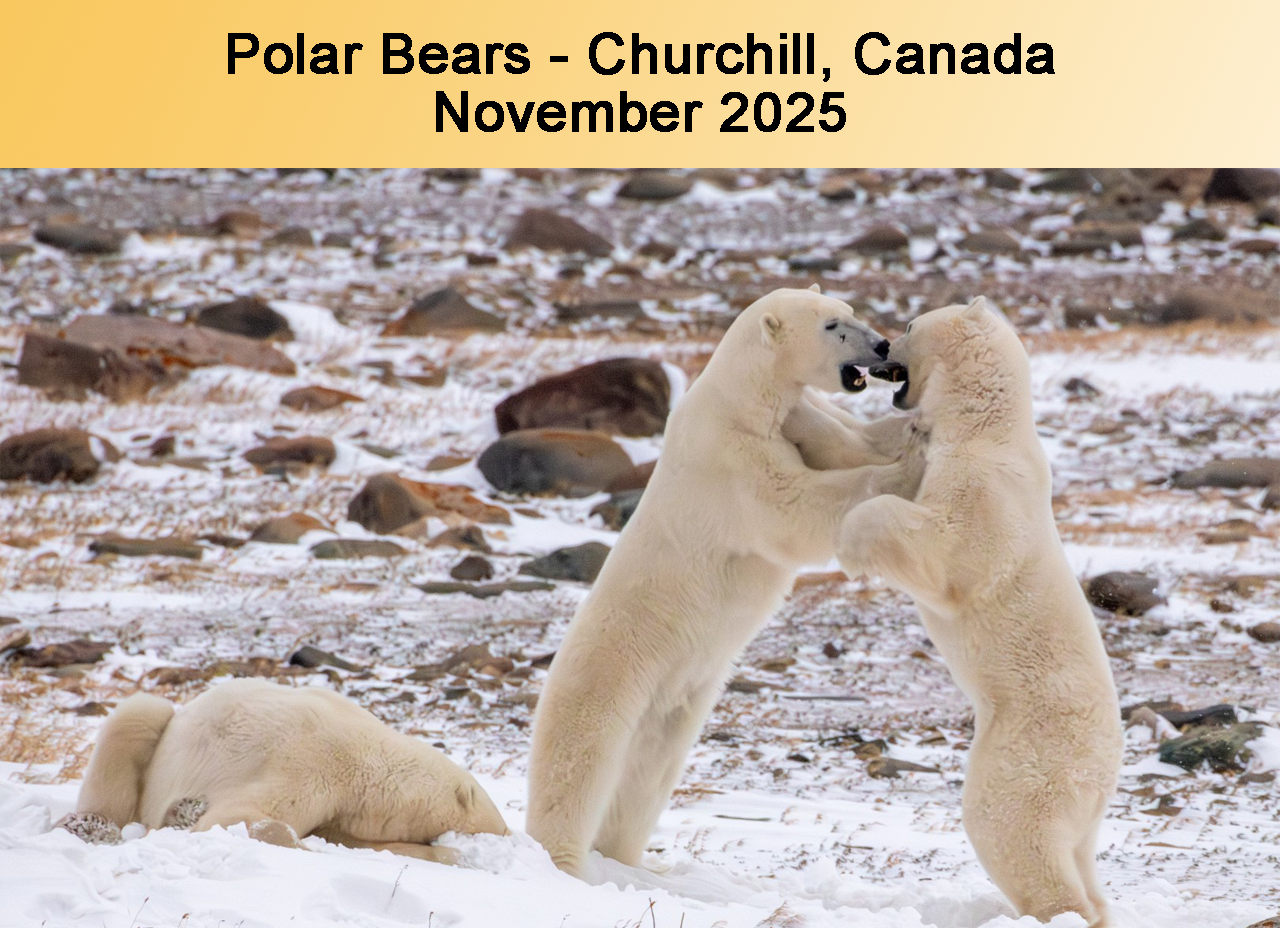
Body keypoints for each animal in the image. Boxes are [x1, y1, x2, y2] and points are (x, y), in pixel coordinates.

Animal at [62, 678, 508, 864]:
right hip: (159, 736)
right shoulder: (309, 766)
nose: (507, 833)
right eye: (493, 813)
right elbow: (241, 818)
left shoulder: (343, 811)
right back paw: (92, 825)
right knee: (138, 716)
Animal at [526, 286, 927, 877]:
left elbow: (849, 439)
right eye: (833, 326)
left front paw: (916, 428)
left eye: (850, 312)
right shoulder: (731, 461)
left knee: (649, 773)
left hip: (680, 701)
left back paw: (634, 861)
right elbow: (795, 510)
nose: (880, 345)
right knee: (580, 759)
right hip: (608, 669)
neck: (744, 399)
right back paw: (565, 861)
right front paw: (908, 465)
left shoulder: (796, 419)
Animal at [838, 297, 1122, 927]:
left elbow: (950, 556)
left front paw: (850, 541)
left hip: (1030, 754)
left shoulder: (987, 487)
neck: (987, 426)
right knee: (1080, 856)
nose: (885, 344)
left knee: (1008, 828)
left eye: (911, 325)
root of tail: (1103, 773)